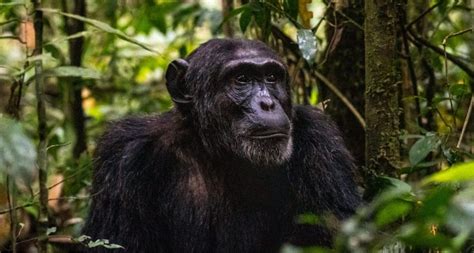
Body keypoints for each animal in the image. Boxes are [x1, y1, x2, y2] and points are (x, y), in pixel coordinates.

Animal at [81, 38, 362, 252]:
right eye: (241, 79)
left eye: (272, 77)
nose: (267, 103)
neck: (217, 151)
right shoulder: (124, 153)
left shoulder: (321, 143)